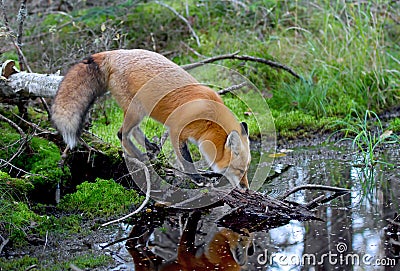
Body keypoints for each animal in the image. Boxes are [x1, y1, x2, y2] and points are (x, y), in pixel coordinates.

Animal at [50, 49, 250, 188]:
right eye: (239, 171)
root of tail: (114, 53)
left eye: (247, 170)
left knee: (133, 131)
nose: (246, 189)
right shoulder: (176, 131)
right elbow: (186, 161)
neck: (209, 120)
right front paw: (198, 178)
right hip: (137, 110)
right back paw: (140, 156)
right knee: (121, 133)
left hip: (140, 110)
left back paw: (151, 148)